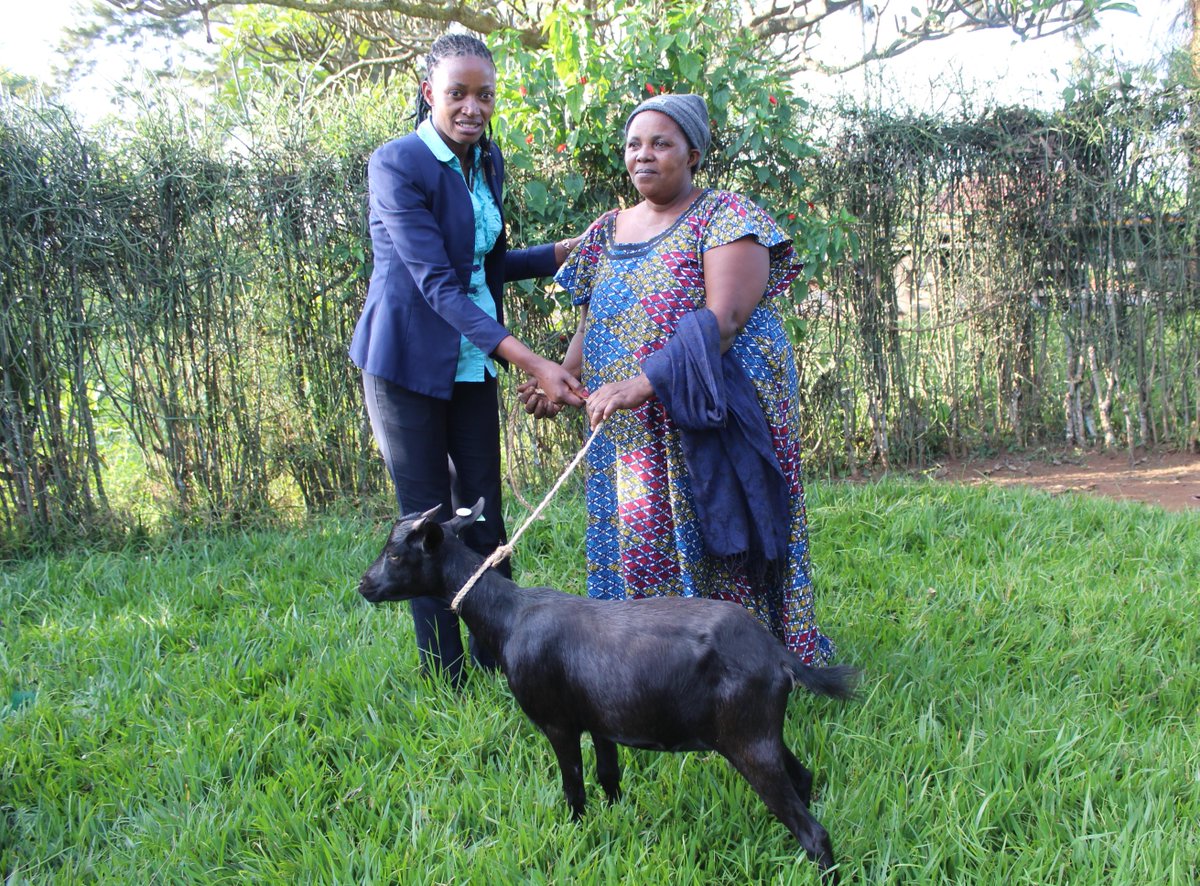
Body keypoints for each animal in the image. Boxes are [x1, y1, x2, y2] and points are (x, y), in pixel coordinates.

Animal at [360, 497, 859, 878]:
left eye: (396, 555)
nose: (364, 585)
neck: (510, 618)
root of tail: (777, 655)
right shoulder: (600, 720)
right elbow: (608, 776)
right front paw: (618, 825)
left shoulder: (558, 722)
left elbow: (574, 786)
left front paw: (576, 833)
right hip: (758, 731)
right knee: (804, 778)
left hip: (746, 740)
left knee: (814, 832)